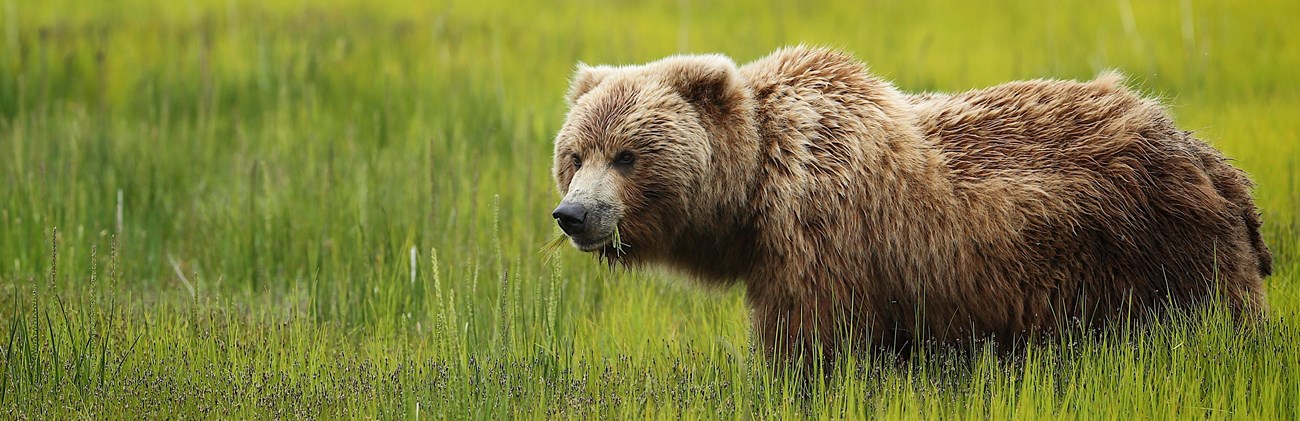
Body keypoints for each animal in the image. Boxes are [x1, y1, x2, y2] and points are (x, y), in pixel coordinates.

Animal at [550, 46, 1271, 366]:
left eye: (627, 154)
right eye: (575, 154)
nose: (574, 215)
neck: (755, 193)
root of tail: (1206, 154)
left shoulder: (825, 236)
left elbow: (813, 343)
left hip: (1158, 245)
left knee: (1215, 321)